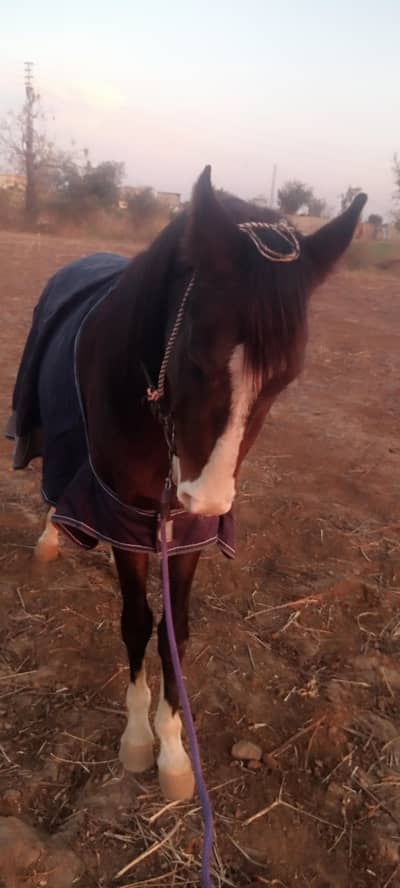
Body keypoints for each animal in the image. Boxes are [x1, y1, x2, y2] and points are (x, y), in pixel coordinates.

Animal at [6, 166, 366, 802]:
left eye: (285, 378)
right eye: (197, 356)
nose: (208, 498)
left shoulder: (188, 531)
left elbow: (177, 633)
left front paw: (173, 753)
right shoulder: (124, 515)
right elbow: (137, 623)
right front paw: (136, 740)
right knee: (53, 487)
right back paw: (51, 537)